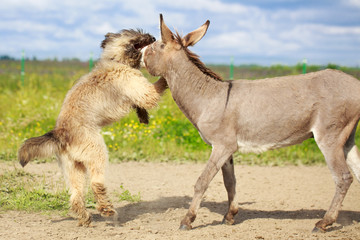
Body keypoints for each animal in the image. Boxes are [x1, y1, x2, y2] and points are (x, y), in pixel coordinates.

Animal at [17, 29, 168, 226]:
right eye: (136, 33)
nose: (153, 38)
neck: (115, 59)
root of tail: (60, 133)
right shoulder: (133, 82)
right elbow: (152, 92)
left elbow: (140, 103)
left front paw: (143, 116)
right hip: (97, 151)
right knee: (96, 183)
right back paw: (107, 210)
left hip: (73, 167)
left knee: (76, 195)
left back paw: (85, 218)